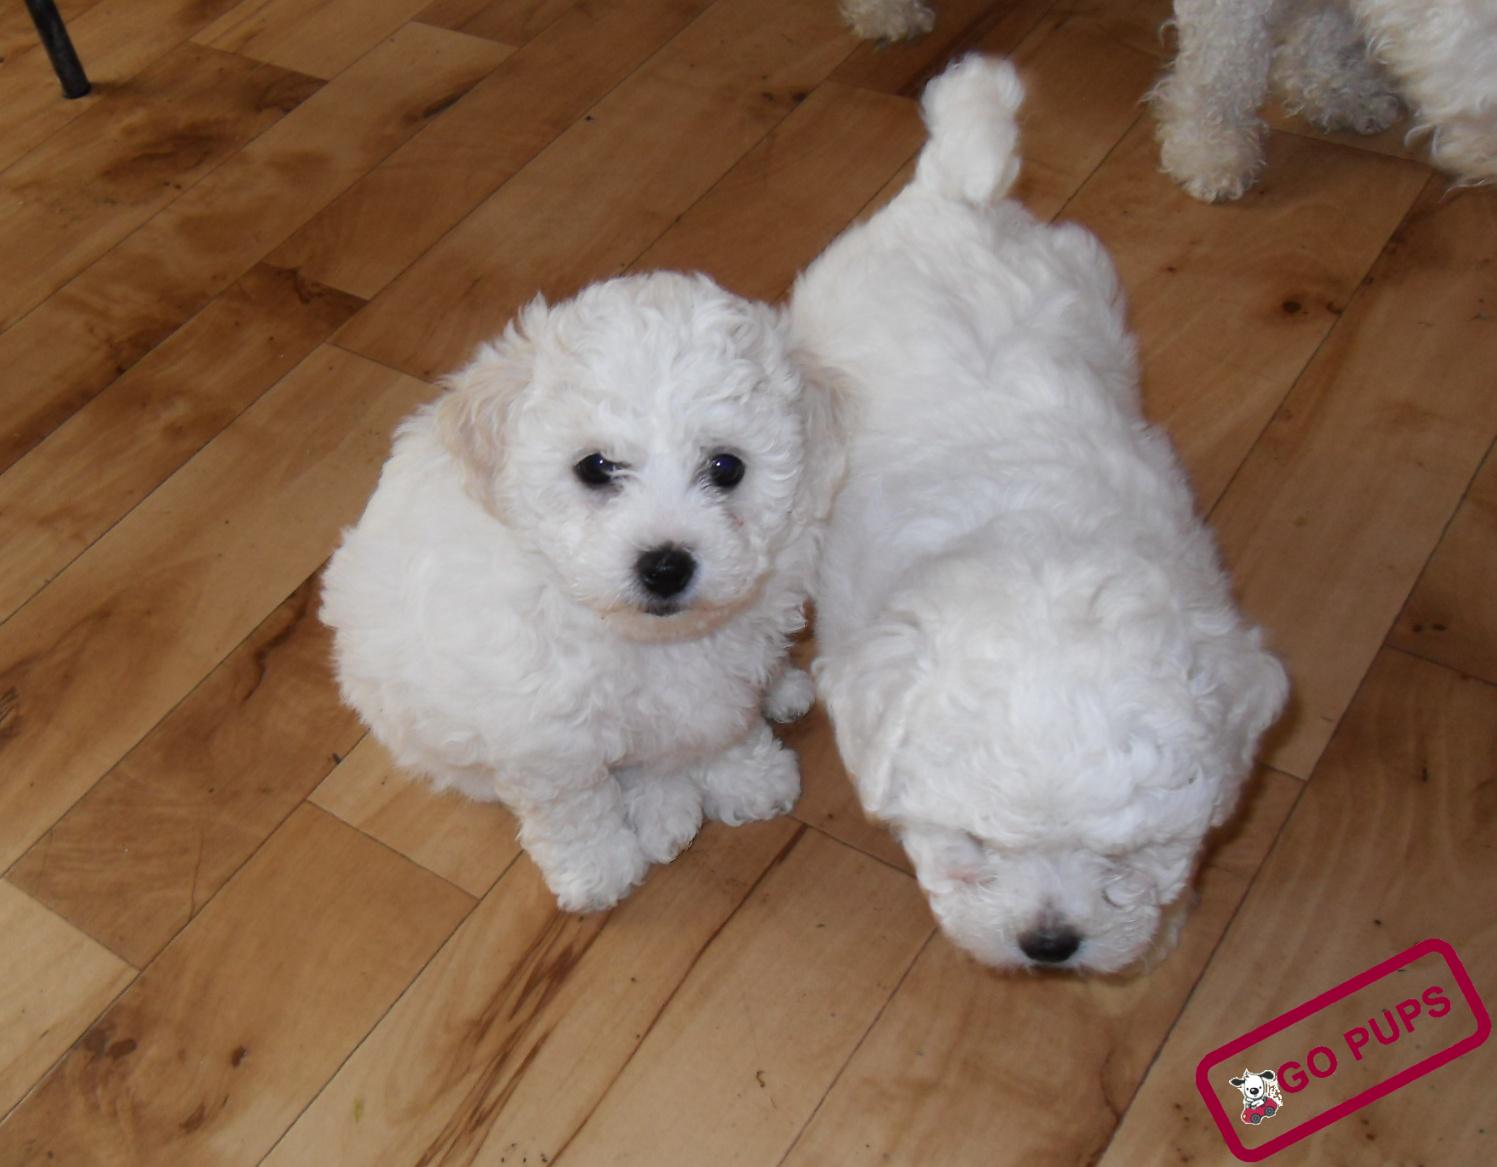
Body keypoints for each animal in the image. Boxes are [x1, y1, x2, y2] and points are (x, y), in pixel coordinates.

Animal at [321, 272, 842, 912]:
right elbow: (575, 808)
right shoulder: (545, 739)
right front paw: (598, 868)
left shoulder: (728, 675)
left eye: (726, 467)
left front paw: (749, 776)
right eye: (595, 467)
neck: (644, 637)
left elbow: (725, 725)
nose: (665, 566)